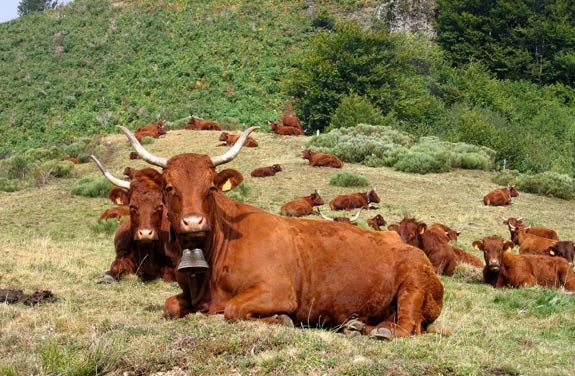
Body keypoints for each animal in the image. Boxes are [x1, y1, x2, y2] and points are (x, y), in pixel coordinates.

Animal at [118, 125, 446, 340]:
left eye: (210, 187)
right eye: (169, 188)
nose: (194, 222)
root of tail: (406, 244)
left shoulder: (276, 291)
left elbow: (233, 310)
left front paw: (281, 319)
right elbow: (170, 305)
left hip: (413, 284)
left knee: (407, 326)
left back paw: (379, 332)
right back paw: (357, 326)